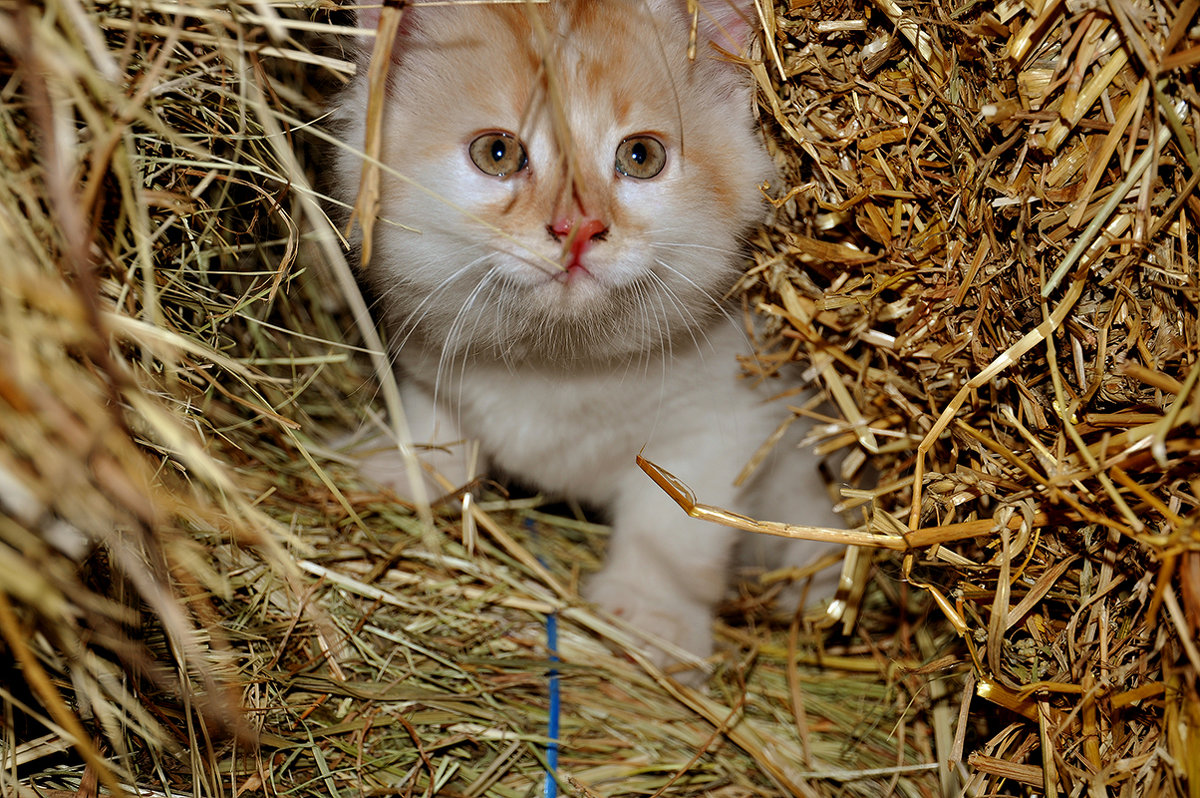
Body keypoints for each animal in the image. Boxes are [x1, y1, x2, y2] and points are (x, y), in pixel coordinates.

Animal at [333, 0, 844, 672]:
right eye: (497, 152)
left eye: (642, 157)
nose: (577, 227)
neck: (562, 363)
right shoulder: (431, 354)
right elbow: (435, 415)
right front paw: (408, 470)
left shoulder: (726, 420)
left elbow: (673, 529)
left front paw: (654, 612)